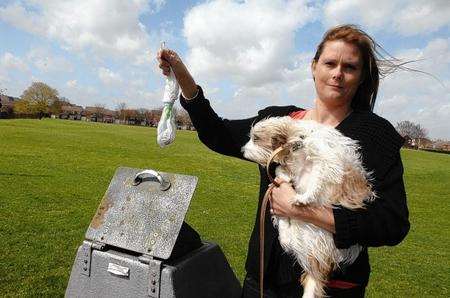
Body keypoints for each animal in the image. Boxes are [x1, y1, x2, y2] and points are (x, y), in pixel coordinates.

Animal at [241, 116, 374, 298]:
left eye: (256, 139)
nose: (242, 150)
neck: (298, 142)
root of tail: (318, 265)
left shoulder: (327, 162)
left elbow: (317, 179)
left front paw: (306, 197)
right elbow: (282, 170)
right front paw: (282, 179)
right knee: (287, 239)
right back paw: (283, 224)